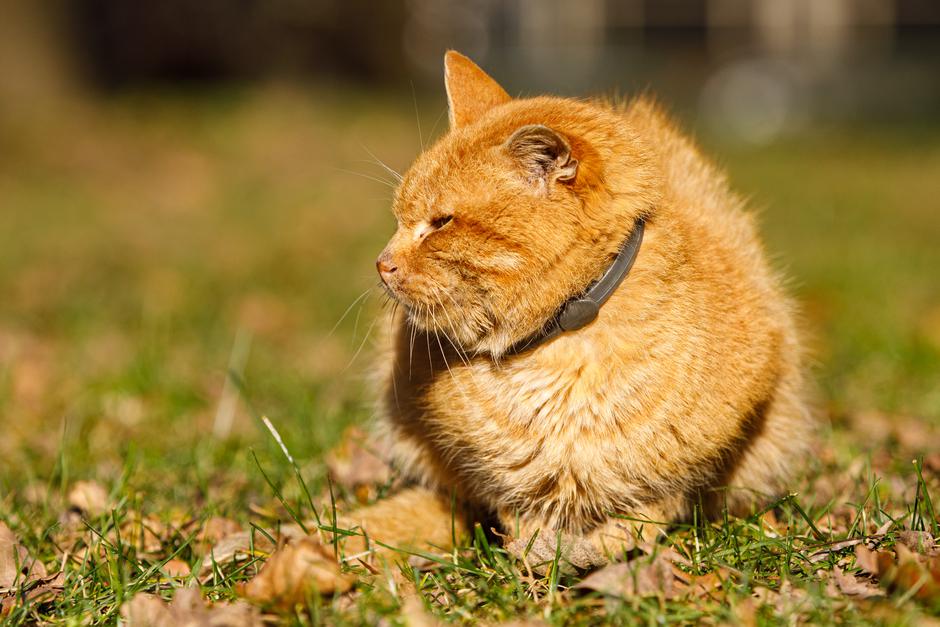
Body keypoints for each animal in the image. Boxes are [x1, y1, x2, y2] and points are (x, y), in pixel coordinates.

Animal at [334, 50, 812, 568]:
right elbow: (513, 510)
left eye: (441, 223)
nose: (382, 262)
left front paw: (599, 547)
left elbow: (652, 509)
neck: (560, 345)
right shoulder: (489, 480)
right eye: (400, 219)